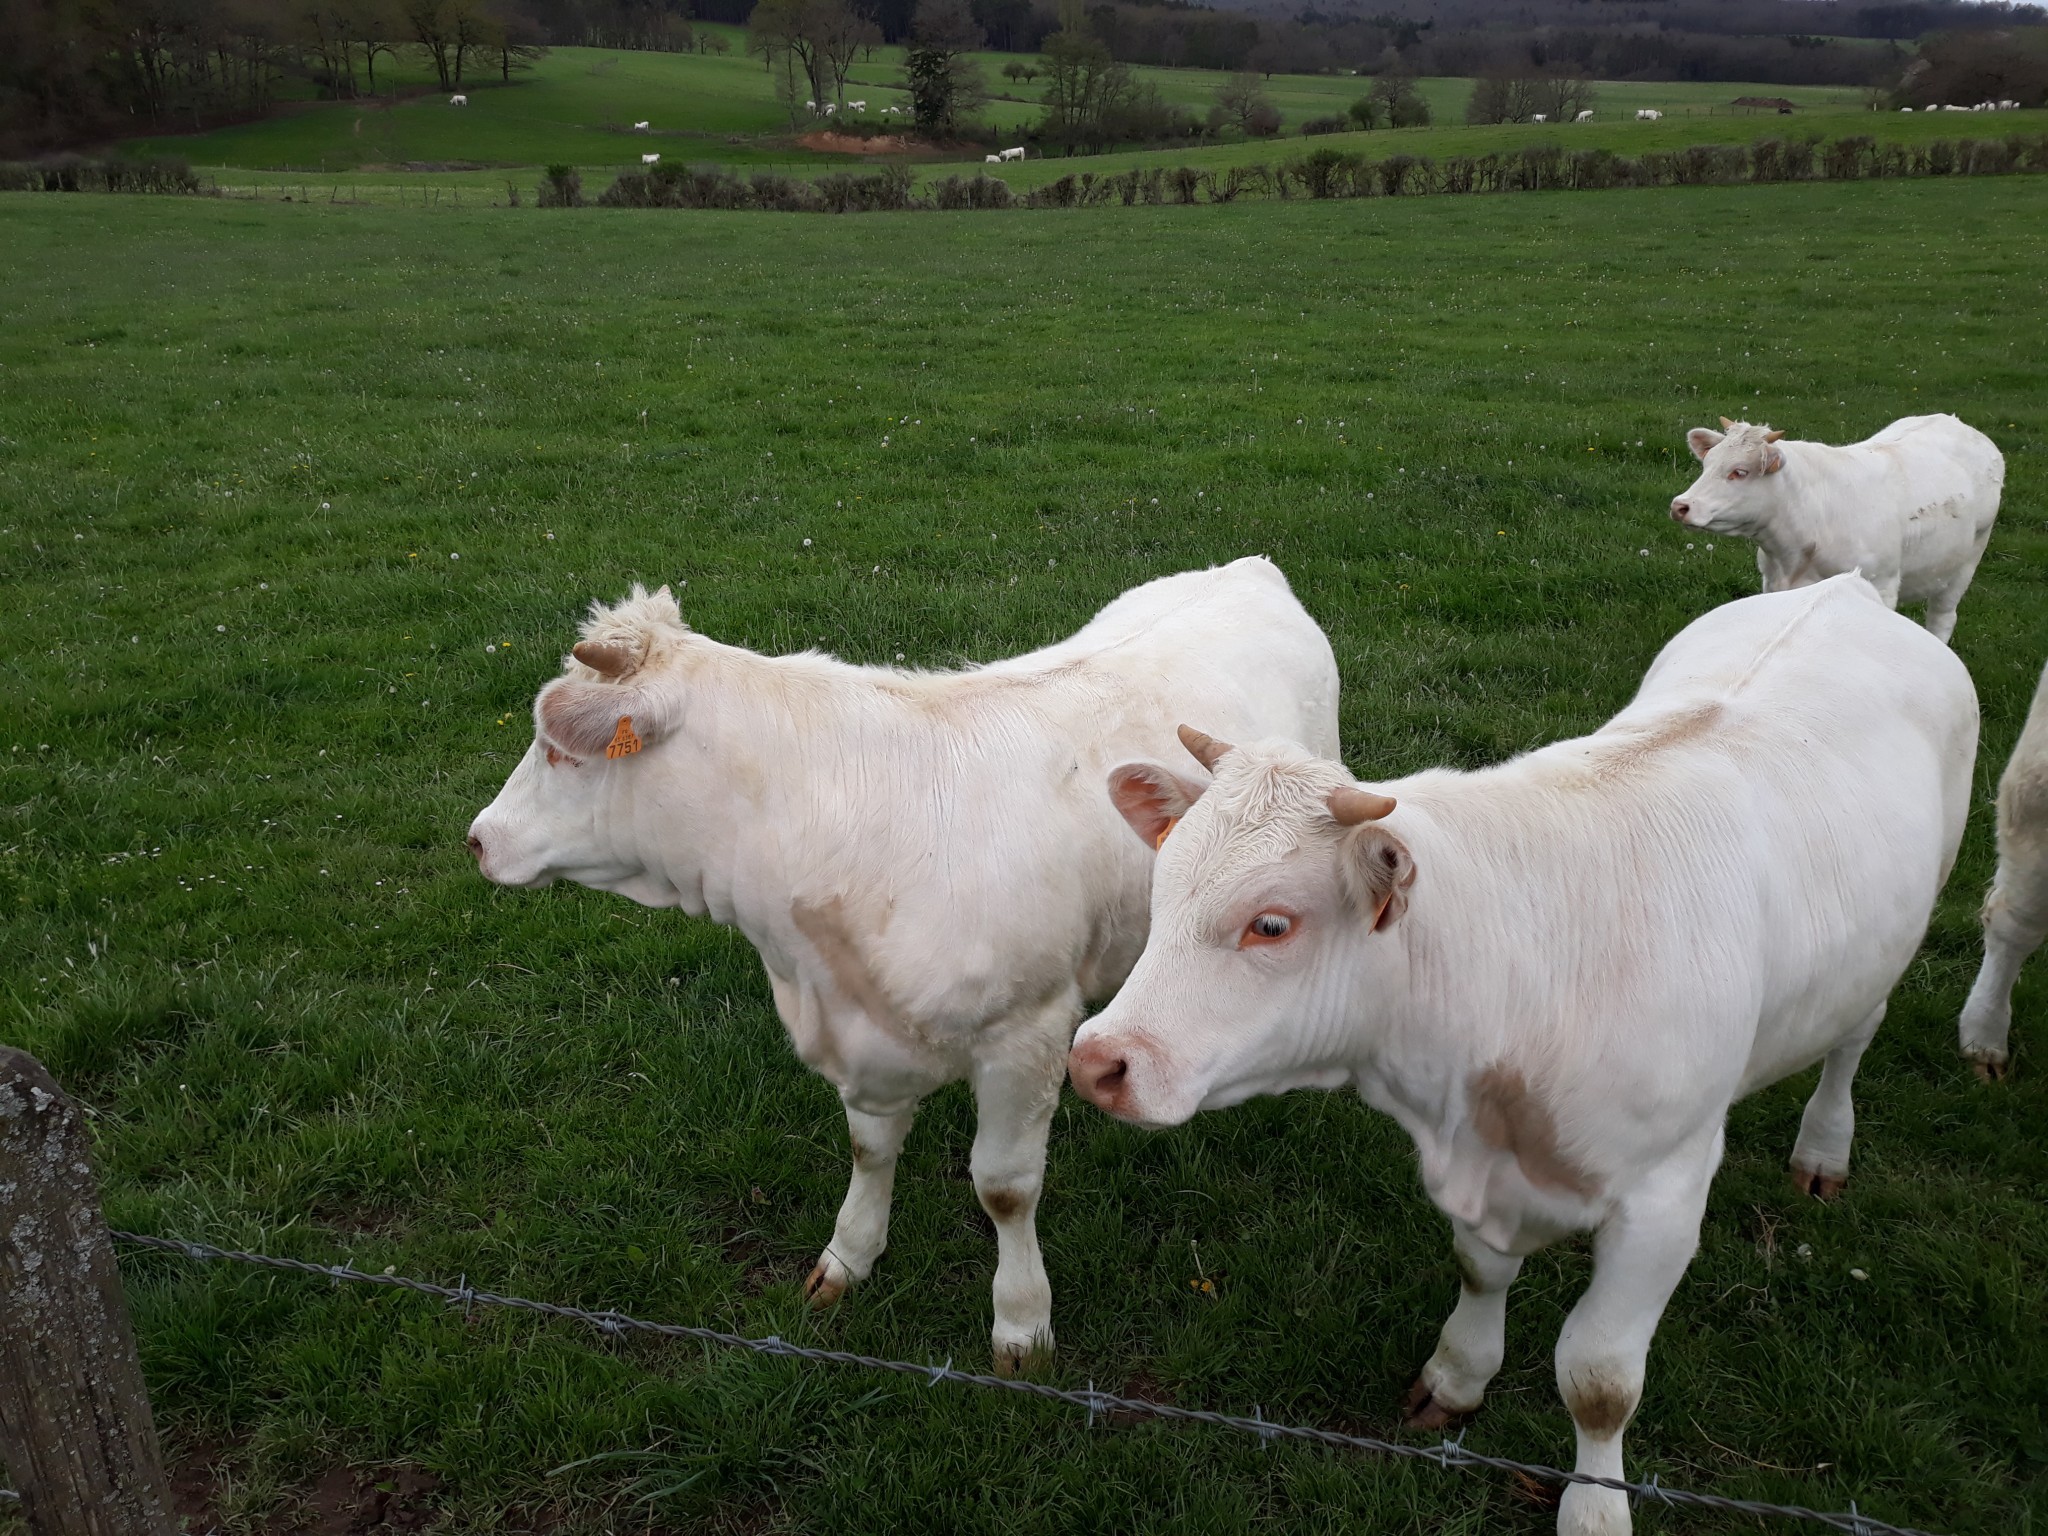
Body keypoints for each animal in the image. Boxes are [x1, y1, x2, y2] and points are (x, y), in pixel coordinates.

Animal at [471, 561, 1351, 1368]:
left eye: (561, 751)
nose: (478, 839)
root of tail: (1249, 568)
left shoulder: (1027, 1033)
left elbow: (1004, 1188)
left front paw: (1022, 1324)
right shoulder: (863, 1034)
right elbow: (870, 1149)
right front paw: (848, 1256)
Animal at [1064, 573, 1974, 1536]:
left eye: (1271, 924)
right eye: (1161, 888)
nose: (1099, 1060)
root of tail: (1847, 588)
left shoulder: (1665, 1194)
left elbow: (1600, 1380)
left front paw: (1595, 1507)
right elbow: (1480, 1269)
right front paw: (1459, 1375)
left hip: (1896, 941)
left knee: (1854, 1038)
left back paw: (1824, 1149)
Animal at [1662, 415, 1998, 643]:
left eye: (1739, 472)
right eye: (1707, 465)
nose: (1681, 505)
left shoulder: (1882, 585)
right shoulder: (1773, 583)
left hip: (1965, 564)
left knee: (1943, 617)